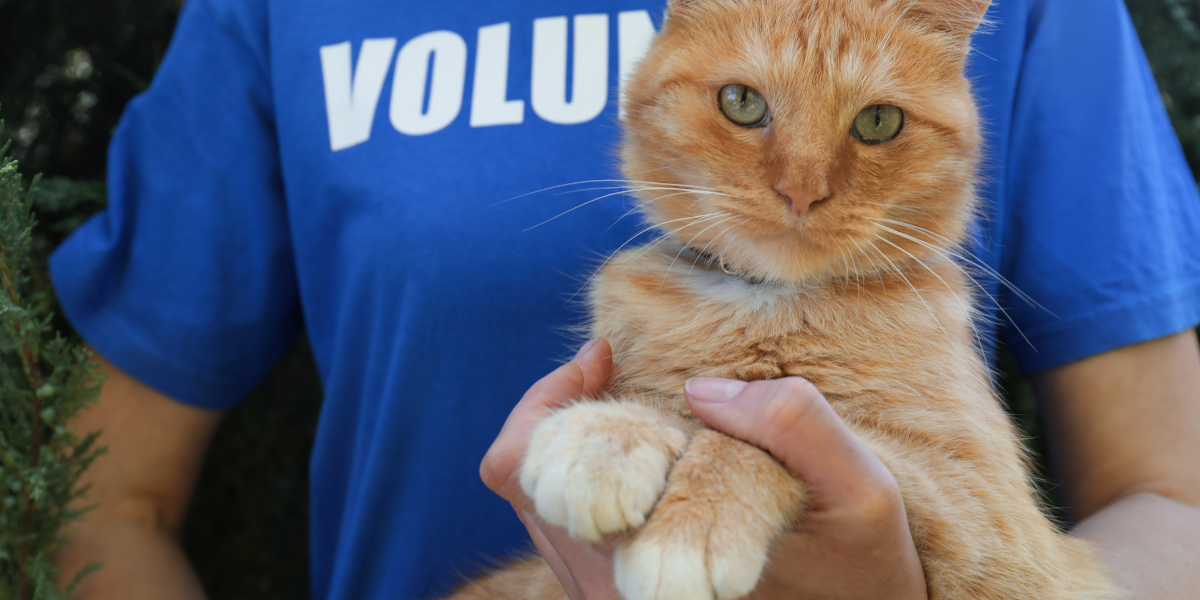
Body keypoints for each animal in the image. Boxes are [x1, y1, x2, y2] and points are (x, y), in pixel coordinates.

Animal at [453, 1, 1118, 600]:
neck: (769, 306)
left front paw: (693, 516)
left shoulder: (990, 516)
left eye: (879, 120)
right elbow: (670, 401)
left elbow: (756, 427)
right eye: (741, 102)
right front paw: (608, 433)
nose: (801, 191)